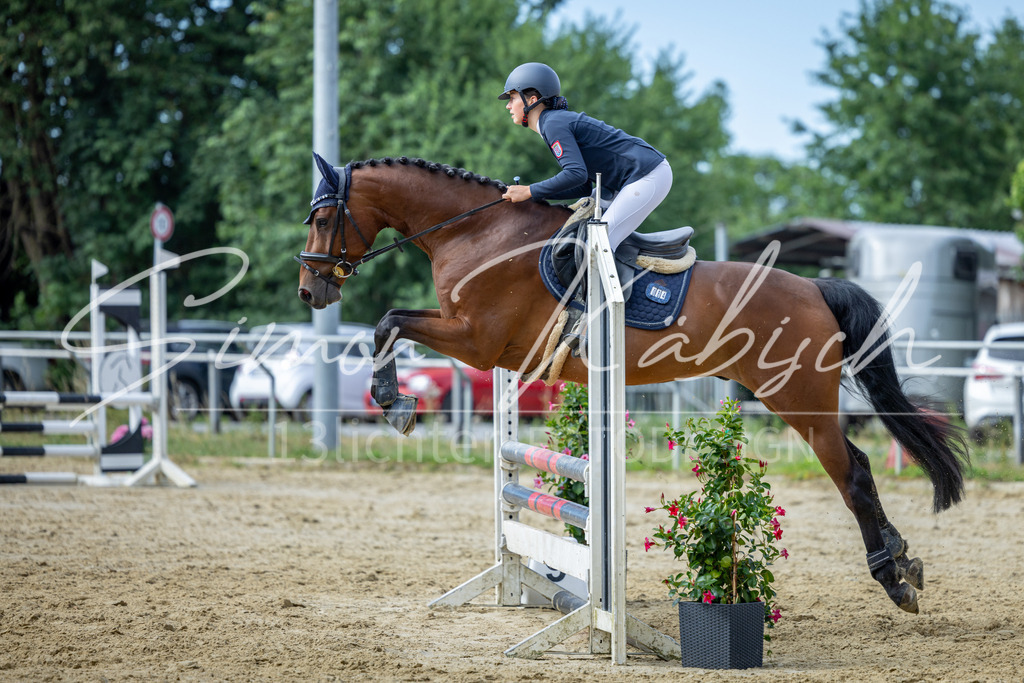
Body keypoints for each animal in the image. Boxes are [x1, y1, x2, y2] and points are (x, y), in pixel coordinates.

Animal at [295, 153, 968, 615]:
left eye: (324, 216)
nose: (310, 291)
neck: (475, 234)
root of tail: (815, 288)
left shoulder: (477, 341)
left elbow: (388, 322)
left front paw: (395, 402)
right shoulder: (481, 344)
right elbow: (390, 321)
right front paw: (397, 399)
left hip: (796, 397)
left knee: (851, 473)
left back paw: (892, 578)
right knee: (859, 465)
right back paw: (903, 557)